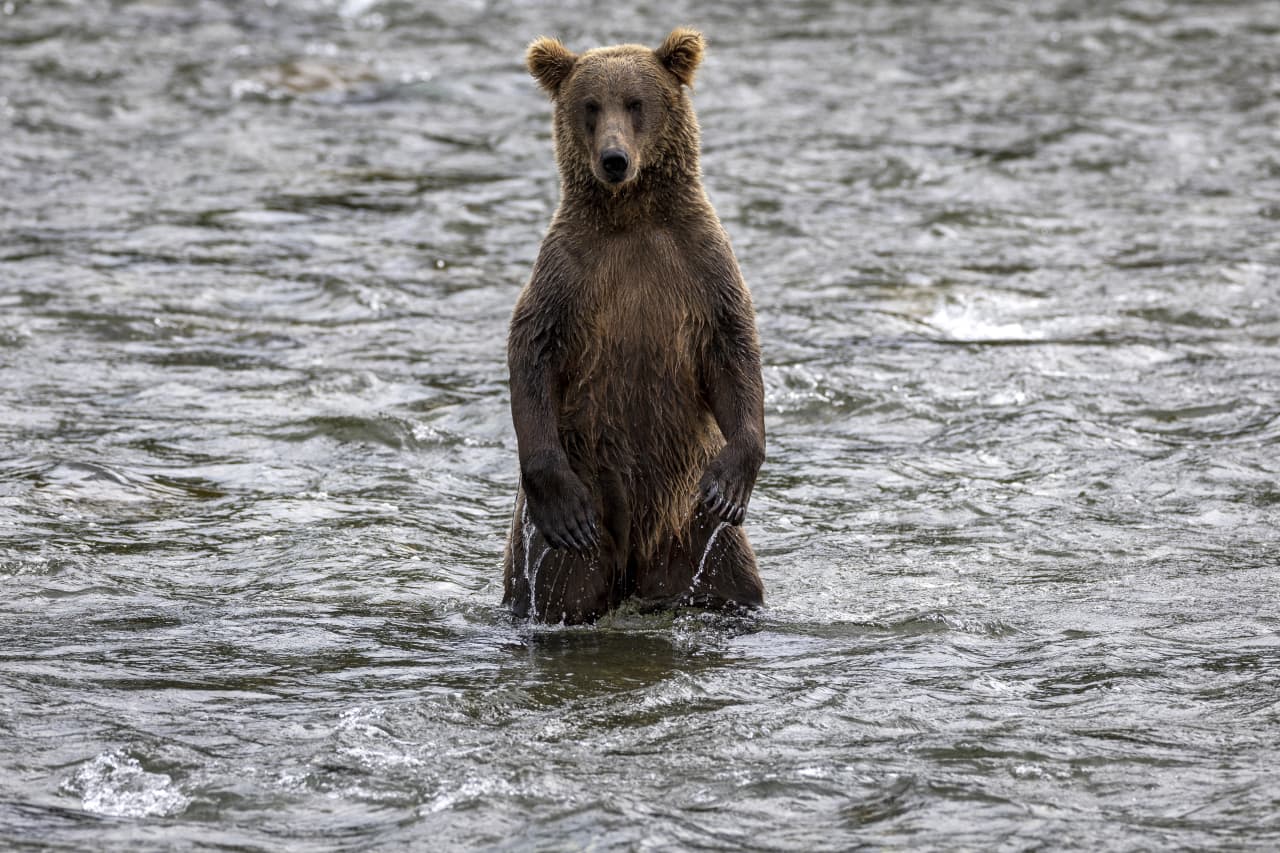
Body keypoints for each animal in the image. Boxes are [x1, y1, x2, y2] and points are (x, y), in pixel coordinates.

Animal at [496, 29, 757, 622]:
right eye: (591, 105)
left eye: (636, 103)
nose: (614, 160)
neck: (632, 215)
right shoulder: (569, 272)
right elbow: (532, 346)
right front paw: (560, 503)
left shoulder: (699, 262)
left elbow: (734, 344)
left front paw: (733, 481)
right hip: (577, 508)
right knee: (557, 584)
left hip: (691, 528)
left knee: (727, 578)